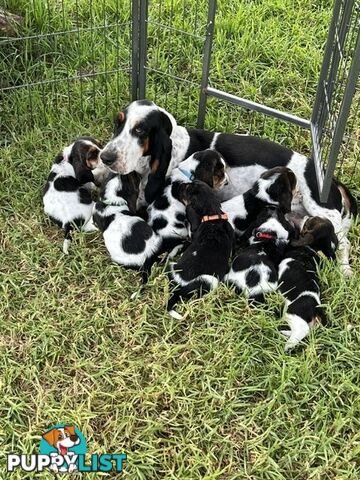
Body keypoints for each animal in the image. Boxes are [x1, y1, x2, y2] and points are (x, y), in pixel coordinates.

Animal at [100, 100, 356, 274]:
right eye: (117, 122)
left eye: (140, 130)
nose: (106, 157)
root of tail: (332, 180)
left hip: (320, 210)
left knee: (343, 241)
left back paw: (345, 272)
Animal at [278, 216, 338, 350]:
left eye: (308, 223)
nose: (305, 216)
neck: (312, 248)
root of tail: (316, 308)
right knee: (307, 331)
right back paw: (286, 333)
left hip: (292, 312)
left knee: (302, 330)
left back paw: (288, 345)